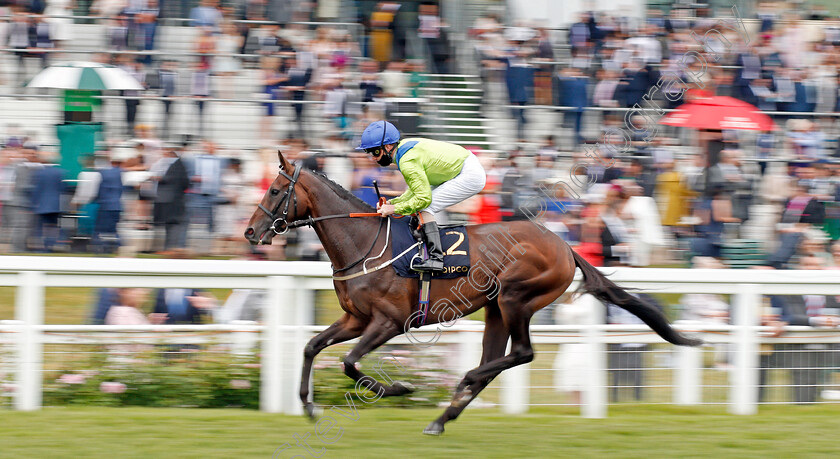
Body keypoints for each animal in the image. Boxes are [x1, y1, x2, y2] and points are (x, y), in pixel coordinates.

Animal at [244, 153, 704, 436]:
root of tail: (565, 245)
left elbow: (350, 362)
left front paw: (399, 389)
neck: (364, 243)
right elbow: (311, 346)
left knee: (521, 354)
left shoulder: (389, 322)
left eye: (274, 190)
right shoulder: (355, 318)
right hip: (495, 308)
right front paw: (307, 405)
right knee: (497, 360)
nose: (250, 231)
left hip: (516, 297)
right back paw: (443, 417)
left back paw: (460, 384)